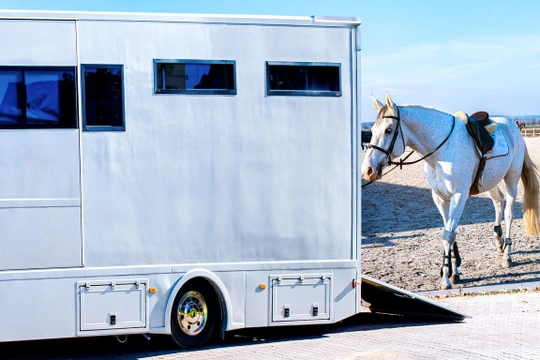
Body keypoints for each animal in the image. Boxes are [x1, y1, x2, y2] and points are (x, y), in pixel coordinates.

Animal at [362, 92, 540, 290]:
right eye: (372, 129)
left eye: (388, 130)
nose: (368, 170)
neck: (440, 153)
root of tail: (512, 126)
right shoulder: (440, 198)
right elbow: (451, 232)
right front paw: (454, 272)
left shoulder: (459, 196)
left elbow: (448, 235)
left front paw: (446, 278)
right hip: (490, 182)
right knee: (498, 202)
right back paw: (498, 240)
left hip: (511, 178)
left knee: (508, 213)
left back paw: (506, 255)